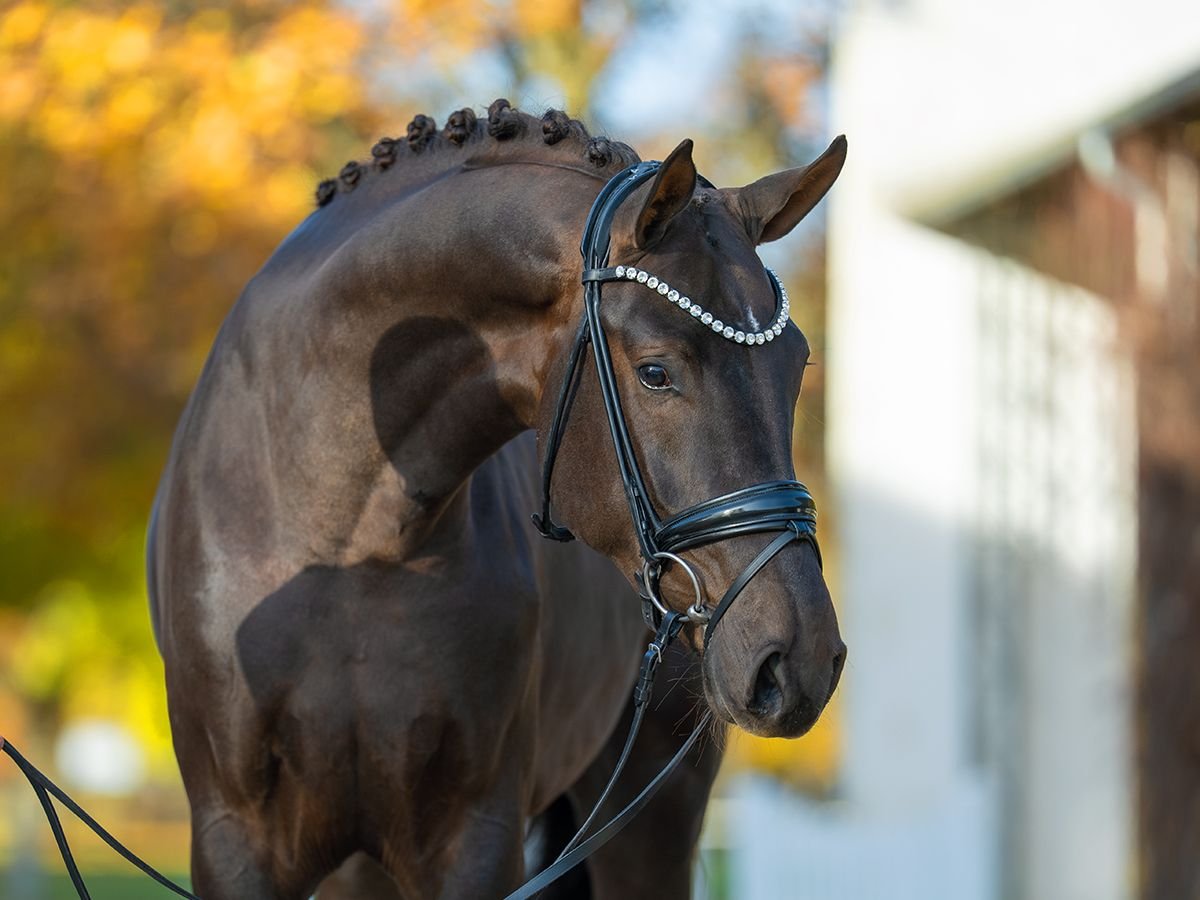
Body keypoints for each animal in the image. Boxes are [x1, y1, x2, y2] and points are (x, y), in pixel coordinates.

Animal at [146, 99, 847, 900]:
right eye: (656, 372)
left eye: (797, 365)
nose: (800, 660)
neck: (340, 535)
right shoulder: (237, 844)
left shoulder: (475, 840)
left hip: (654, 813)